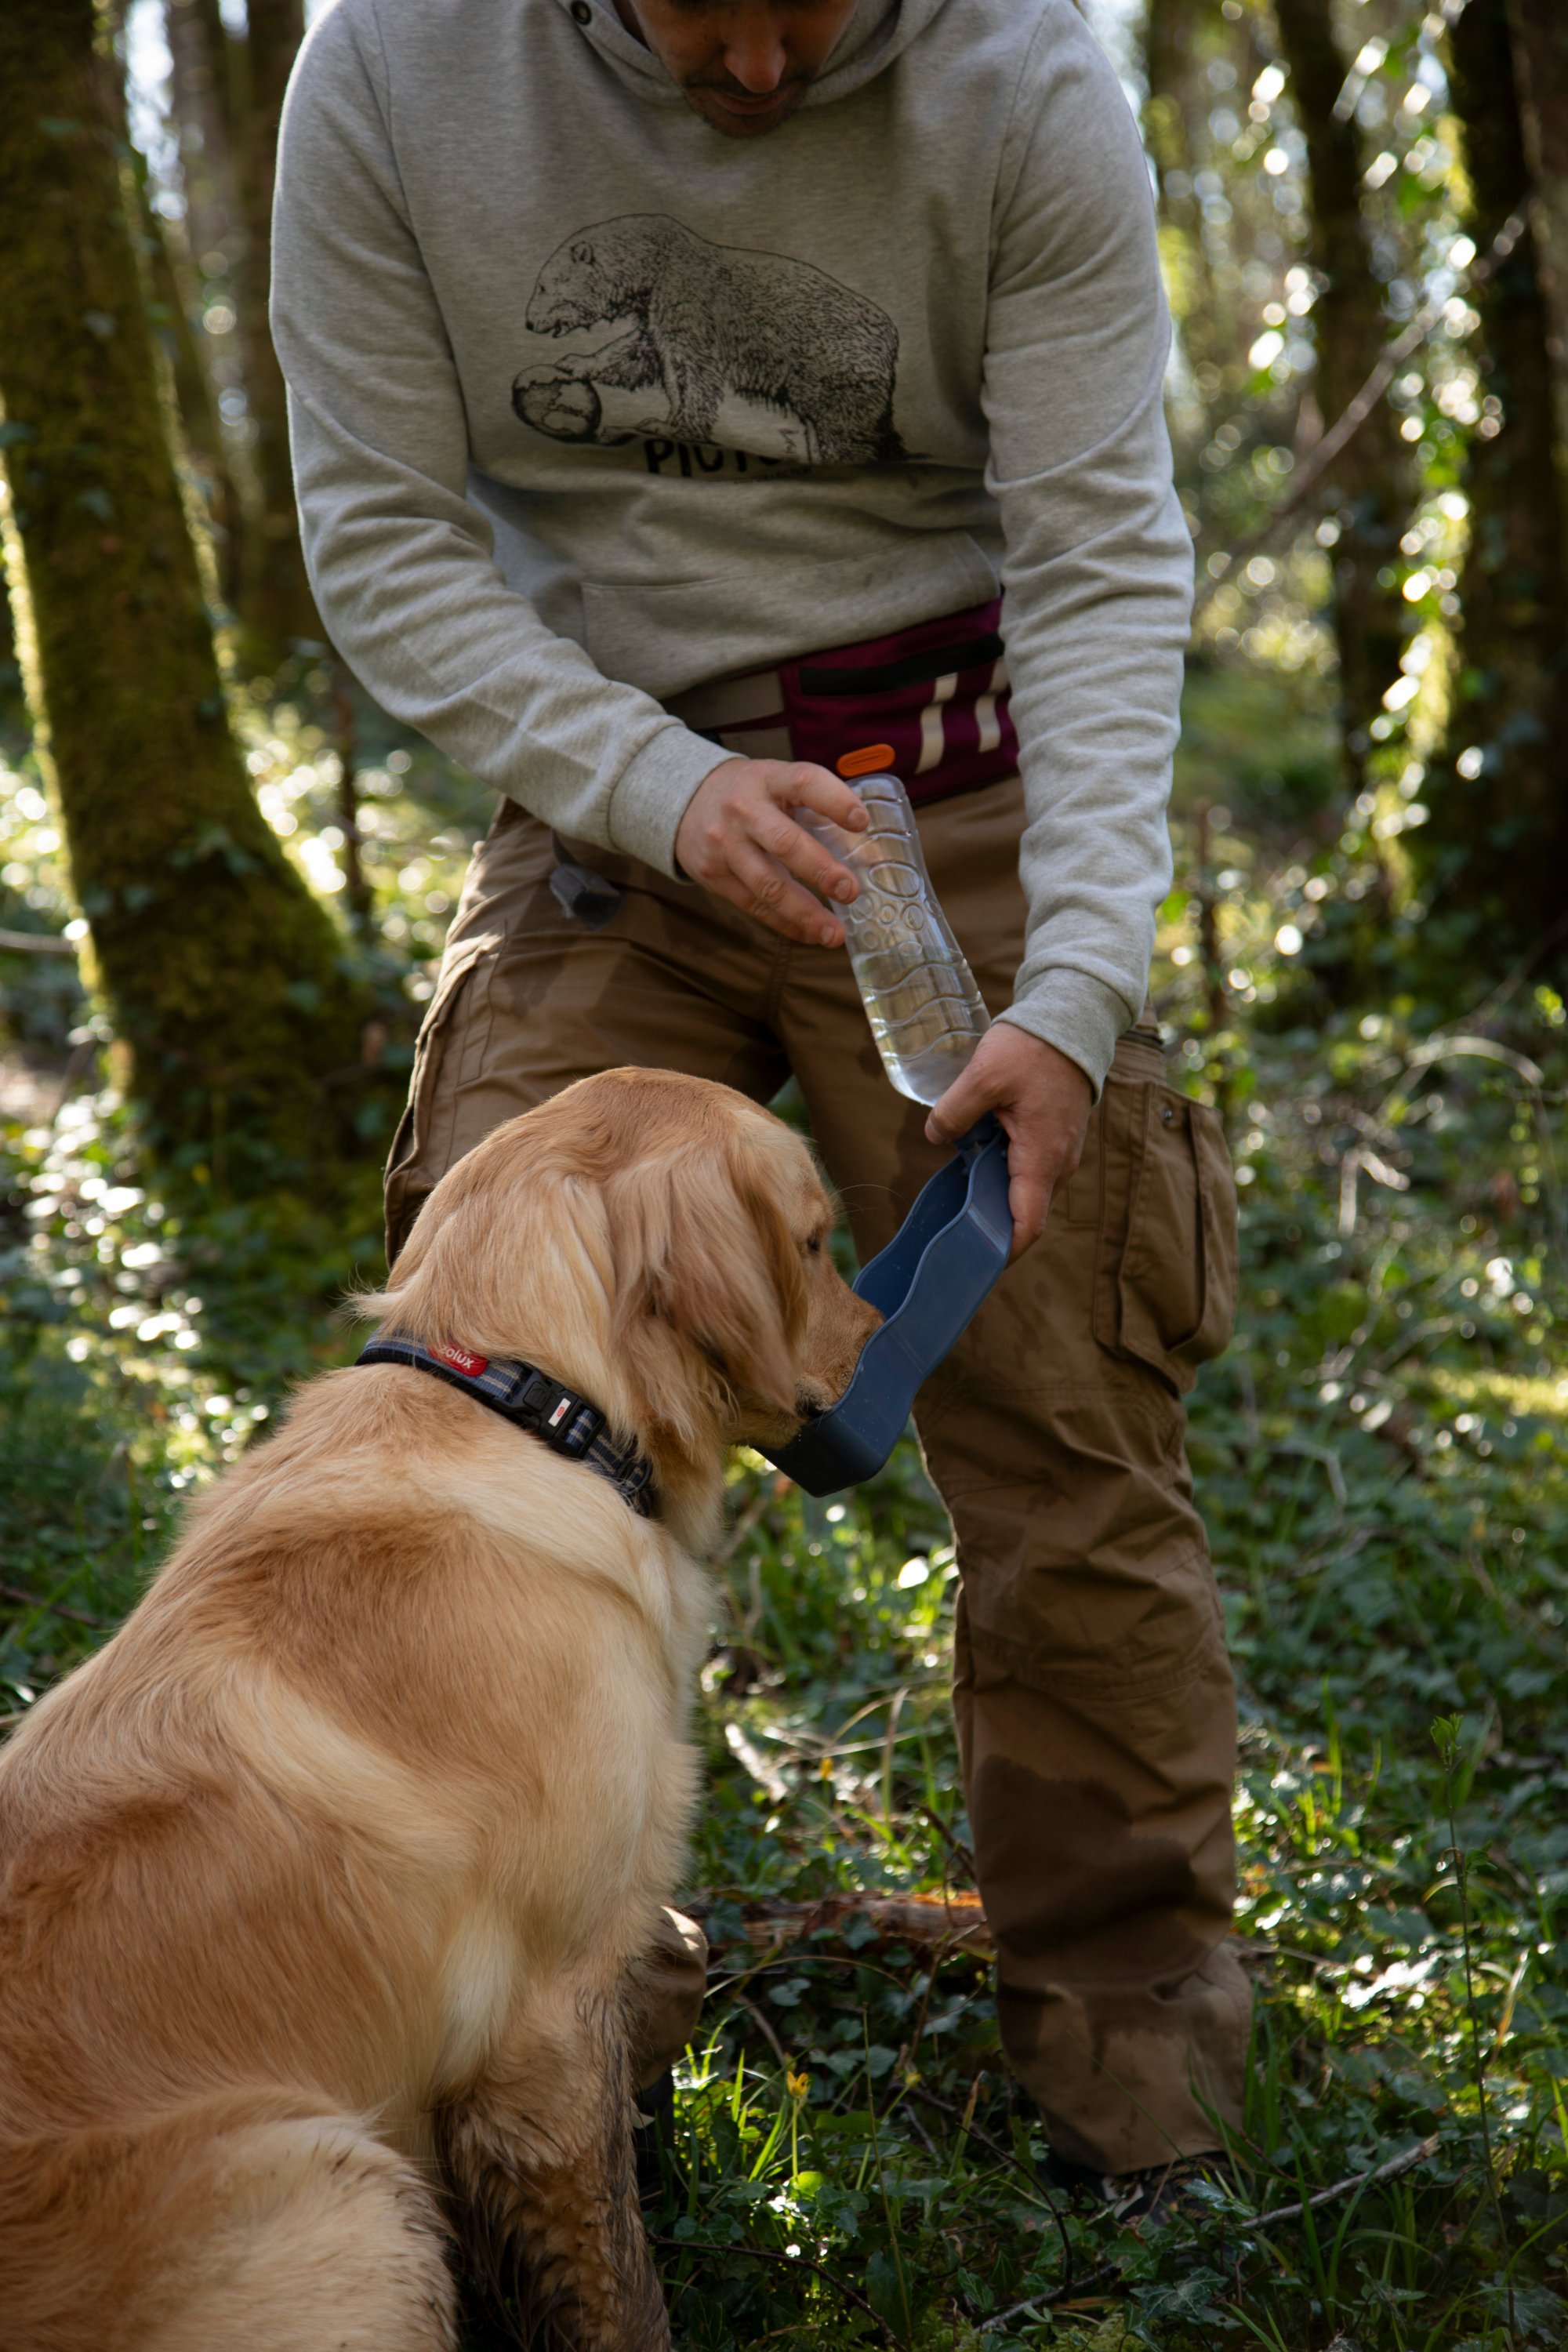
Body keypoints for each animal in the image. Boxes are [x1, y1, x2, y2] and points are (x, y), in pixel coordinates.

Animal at [0, 1073, 879, 2352]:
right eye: (814, 1242)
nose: (878, 1337)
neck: (540, 1411)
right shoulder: (544, 2016)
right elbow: (619, 2281)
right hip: (353, 2193)